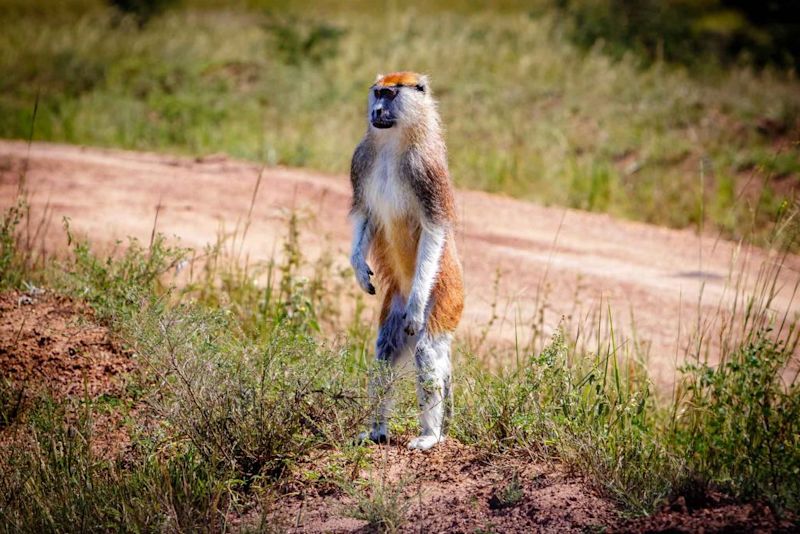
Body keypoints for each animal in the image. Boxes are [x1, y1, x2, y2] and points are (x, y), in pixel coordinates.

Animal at [348, 73, 462, 452]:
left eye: (391, 94)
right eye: (378, 92)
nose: (377, 111)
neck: (393, 143)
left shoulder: (426, 171)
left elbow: (434, 230)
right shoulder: (361, 160)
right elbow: (365, 214)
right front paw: (358, 266)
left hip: (447, 301)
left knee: (426, 352)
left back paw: (430, 435)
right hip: (393, 303)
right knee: (385, 351)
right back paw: (376, 431)